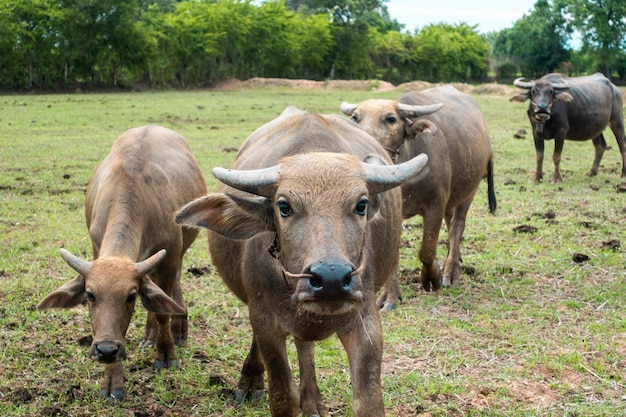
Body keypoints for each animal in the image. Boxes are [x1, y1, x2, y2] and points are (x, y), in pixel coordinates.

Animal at [36, 124, 206, 400]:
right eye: (90, 295)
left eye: (131, 295)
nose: (106, 350)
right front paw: (112, 379)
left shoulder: (168, 259)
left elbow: (162, 310)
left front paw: (166, 354)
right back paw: (149, 336)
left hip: (178, 254)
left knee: (173, 288)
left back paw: (178, 330)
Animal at [174, 105, 428, 414]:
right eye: (284, 207)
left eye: (361, 205)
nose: (331, 278)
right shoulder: (266, 323)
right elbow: (283, 394)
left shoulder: (366, 323)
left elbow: (368, 401)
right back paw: (251, 382)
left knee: (304, 344)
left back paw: (313, 401)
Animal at [338, 85, 494, 290]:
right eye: (356, 117)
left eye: (391, 119)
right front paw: (389, 294)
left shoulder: (435, 204)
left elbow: (427, 250)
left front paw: (432, 278)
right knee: (450, 221)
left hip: (470, 190)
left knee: (457, 226)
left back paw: (451, 273)